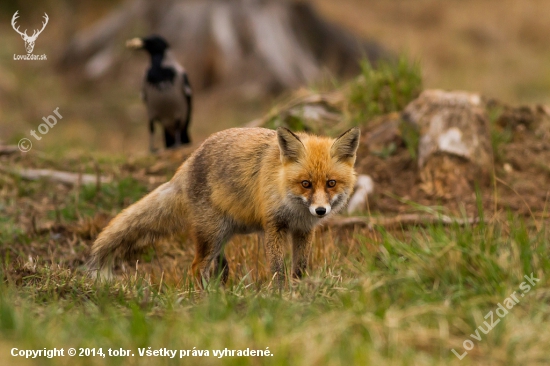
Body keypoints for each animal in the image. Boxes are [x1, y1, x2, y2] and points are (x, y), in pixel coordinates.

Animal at [90, 126, 362, 286]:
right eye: (306, 183)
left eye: (331, 183)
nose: (320, 211)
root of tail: (186, 164)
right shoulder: (274, 226)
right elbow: (277, 267)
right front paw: (281, 293)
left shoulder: (304, 230)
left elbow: (301, 266)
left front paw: (299, 289)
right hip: (212, 235)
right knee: (196, 267)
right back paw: (203, 300)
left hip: (223, 235)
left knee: (218, 268)